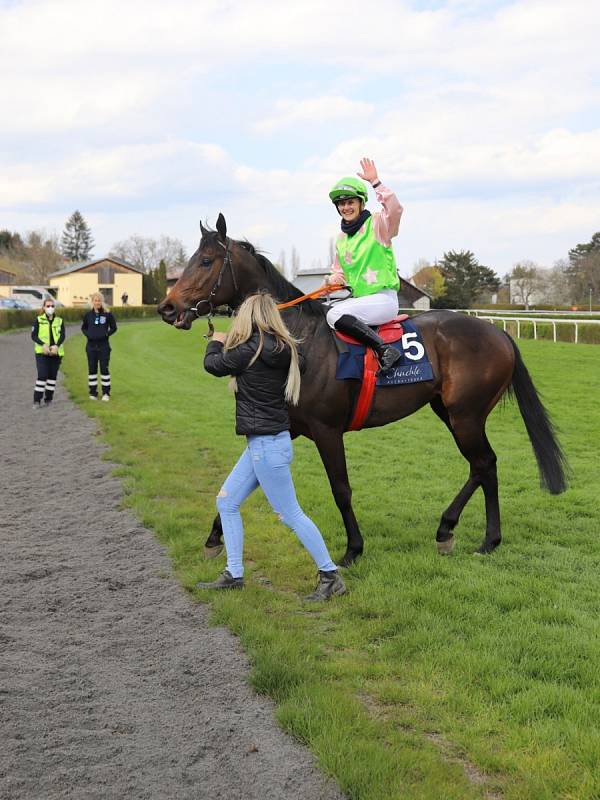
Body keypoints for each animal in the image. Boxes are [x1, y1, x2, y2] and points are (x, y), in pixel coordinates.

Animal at [156, 212, 568, 564]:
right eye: (191, 259)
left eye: (206, 261)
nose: (167, 308)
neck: (297, 339)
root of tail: (498, 333)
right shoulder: (285, 425)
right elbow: (242, 480)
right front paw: (213, 537)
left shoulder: (326, 430)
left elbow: (340, 488)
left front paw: (354, 548)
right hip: (448, 411)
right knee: (482, 466)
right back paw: (453, 531)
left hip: (465, 414)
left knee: (484, 463)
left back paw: (481, 538)